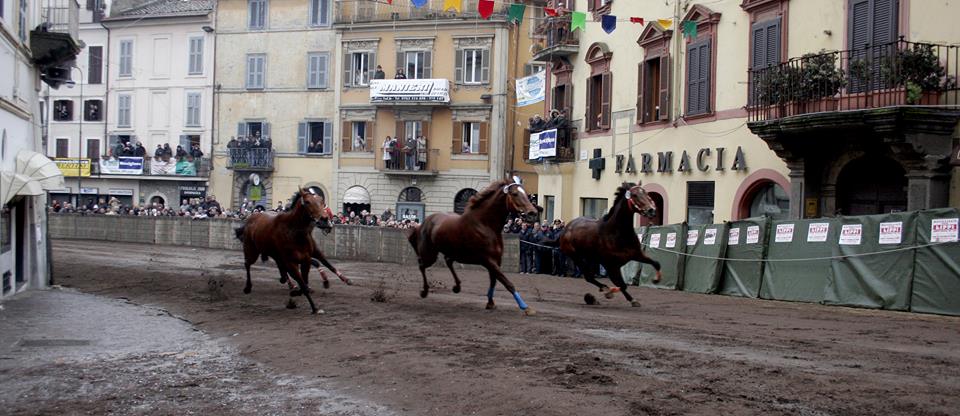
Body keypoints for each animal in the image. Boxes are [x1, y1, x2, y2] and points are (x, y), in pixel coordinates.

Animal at [404, 176, 540, 316]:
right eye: (514, 194)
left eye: (526, 194)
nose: (532, 213)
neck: (485, 225)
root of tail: (424, 222)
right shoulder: (488, 260)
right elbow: (506, 282)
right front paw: (526, 307)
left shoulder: (496, 260)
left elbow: (494, 281)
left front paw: (490, 303)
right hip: (429, 254)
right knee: (422, 265)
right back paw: (424, 291)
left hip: (452, 252)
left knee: (448, 261)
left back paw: (457, 286)